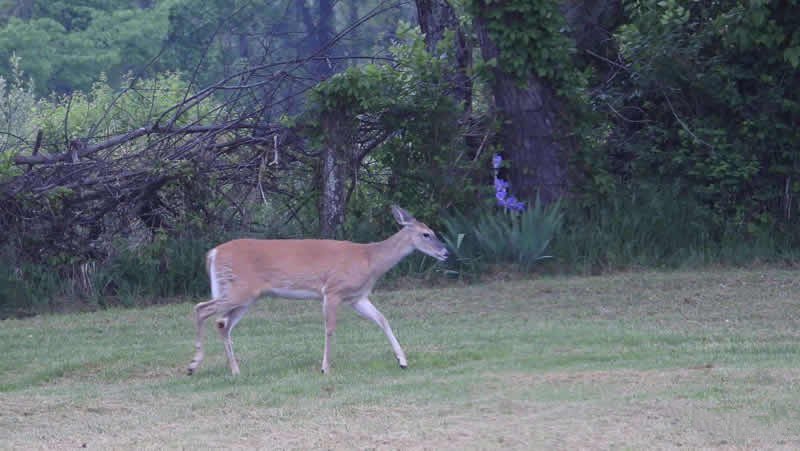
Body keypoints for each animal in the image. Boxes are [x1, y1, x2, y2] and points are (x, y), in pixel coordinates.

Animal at [188, 207, 450, 376]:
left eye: (433, 231)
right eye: (426, 234)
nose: (445, 252)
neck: (370, 259)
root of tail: (213, 253)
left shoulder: (356, 297)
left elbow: (382, 319)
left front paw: (402, 360)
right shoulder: (333, 290)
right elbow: (330, 329)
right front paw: (325, 367)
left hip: (245, 296)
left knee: (222, 323)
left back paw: (234, 370)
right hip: (240, 290)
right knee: (202, 309)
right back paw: (193, 365)